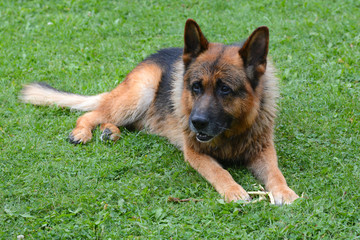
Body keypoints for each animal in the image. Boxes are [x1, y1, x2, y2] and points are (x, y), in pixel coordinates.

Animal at [21, 19, 300, 205]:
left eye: (225, 89)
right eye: (196, 87)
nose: (196, 123)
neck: (232, 132)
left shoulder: (263, 150)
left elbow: (275, 172)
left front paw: (284, 191)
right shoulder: (195, 153)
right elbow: (219, 171)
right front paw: (233, 189)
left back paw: (110, 132)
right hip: (140, 92)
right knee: (92, 114)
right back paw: (83, 132)